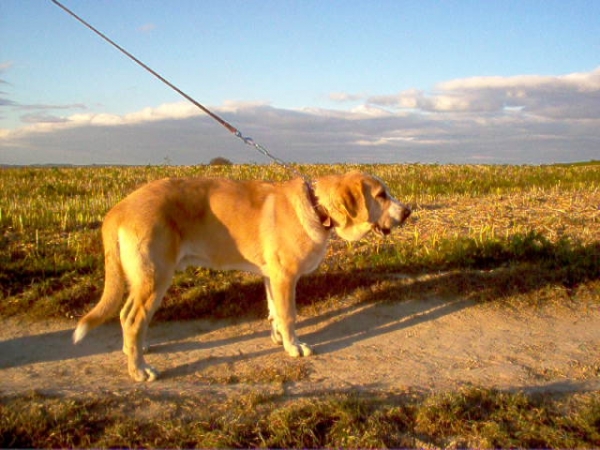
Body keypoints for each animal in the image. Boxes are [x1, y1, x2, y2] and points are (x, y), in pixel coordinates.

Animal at [72, 171, 410, 382]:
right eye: (381, 195)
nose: (407, 212)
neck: (317, 208)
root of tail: (119, 208)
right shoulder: (285, 277)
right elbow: (289, 315)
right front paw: (293, 347)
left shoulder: (271, 277)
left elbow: (275, 312)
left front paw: (279, 338)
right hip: (154, 277)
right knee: (131, 319)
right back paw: (139, 370)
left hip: (144, 280)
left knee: (127, 317)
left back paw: (135, 351)